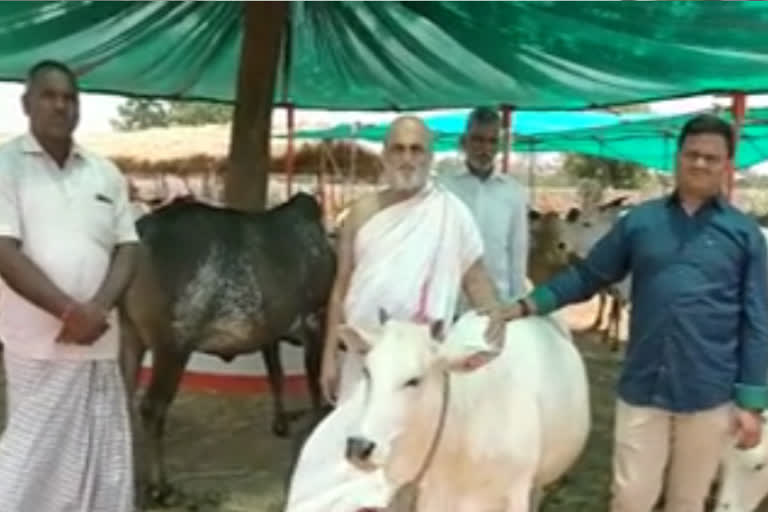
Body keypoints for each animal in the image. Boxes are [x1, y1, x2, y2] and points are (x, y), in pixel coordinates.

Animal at [118, 192, 334, 504]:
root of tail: (143, 234)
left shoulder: (270, 332)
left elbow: (276, 375)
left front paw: (281, 423)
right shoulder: (314, 321)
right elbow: (315, 385)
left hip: (131, 335)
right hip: (172, 347)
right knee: (152, 408)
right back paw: (160, 487)